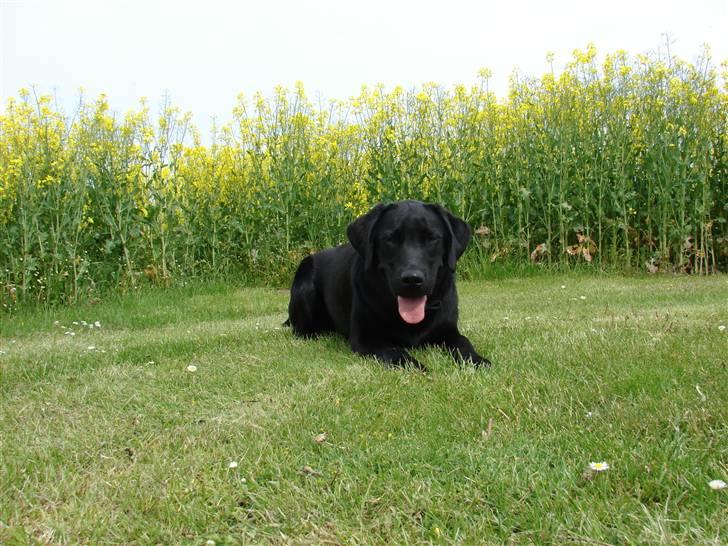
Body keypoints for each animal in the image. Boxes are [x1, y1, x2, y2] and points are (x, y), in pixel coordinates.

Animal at [286, 200, 490, 370]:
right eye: (391, 239)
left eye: (432, 238)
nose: (412, 279)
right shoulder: (367, 338)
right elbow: (396, 353)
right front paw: (418, 368)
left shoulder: (449, 330)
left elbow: (463, 343)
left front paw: (477, 360)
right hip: (305, 283)